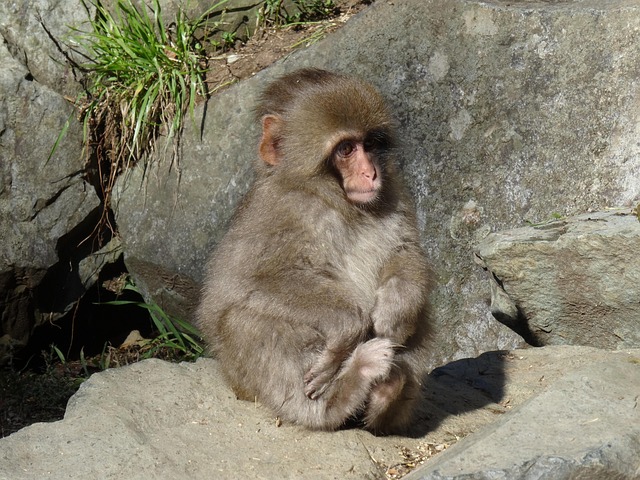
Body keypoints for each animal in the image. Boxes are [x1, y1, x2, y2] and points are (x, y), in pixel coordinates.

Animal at [195, 68, 432, 435]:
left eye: (370, 144)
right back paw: (339, 398)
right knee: (244, 321)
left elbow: (405, 249)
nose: (371, 173)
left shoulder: (395, 188)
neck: (333, 200)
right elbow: (243, 286)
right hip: (245, 381)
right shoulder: (277, 212)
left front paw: (396, 310)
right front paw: (349, 325)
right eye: (346, 149)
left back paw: (388, 398)